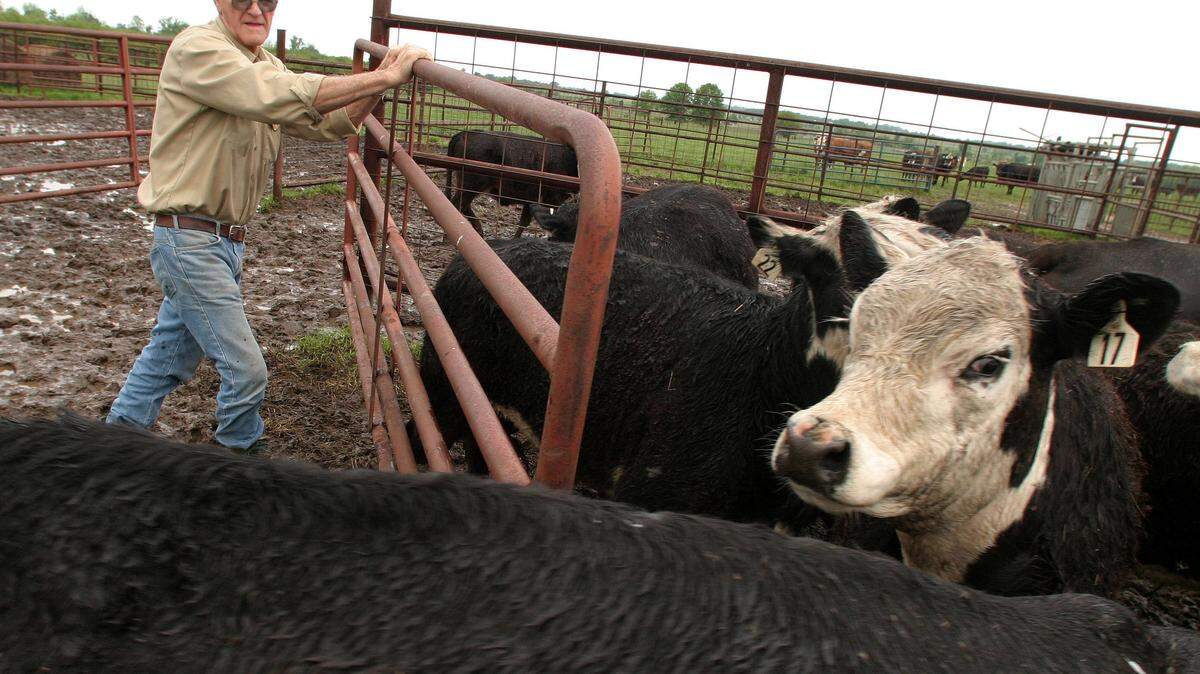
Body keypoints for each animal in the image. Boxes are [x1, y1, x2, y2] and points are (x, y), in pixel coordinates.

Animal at [444, 130, 578, 237]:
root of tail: (465, 133)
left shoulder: (531, 199)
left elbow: (524, 221)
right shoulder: (552, 199)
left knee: (464, 206)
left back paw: (479, 231)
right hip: (472, 186)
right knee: (457, 204)